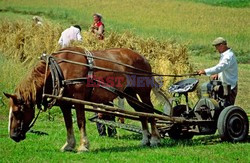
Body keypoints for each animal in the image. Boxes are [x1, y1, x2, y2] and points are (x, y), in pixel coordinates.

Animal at [5, 46, 163, 152]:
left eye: (18, 112)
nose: (12, 136)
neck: (59, 70)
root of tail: (143, 58)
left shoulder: (78, 99)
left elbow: (81, 121)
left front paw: (83, 146)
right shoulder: (65, 103)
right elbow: (68, 123)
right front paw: (69, 145)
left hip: (143, 92)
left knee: (150, 113)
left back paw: (155, 139)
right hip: (129, 93)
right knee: (141, 113)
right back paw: (145, 139)